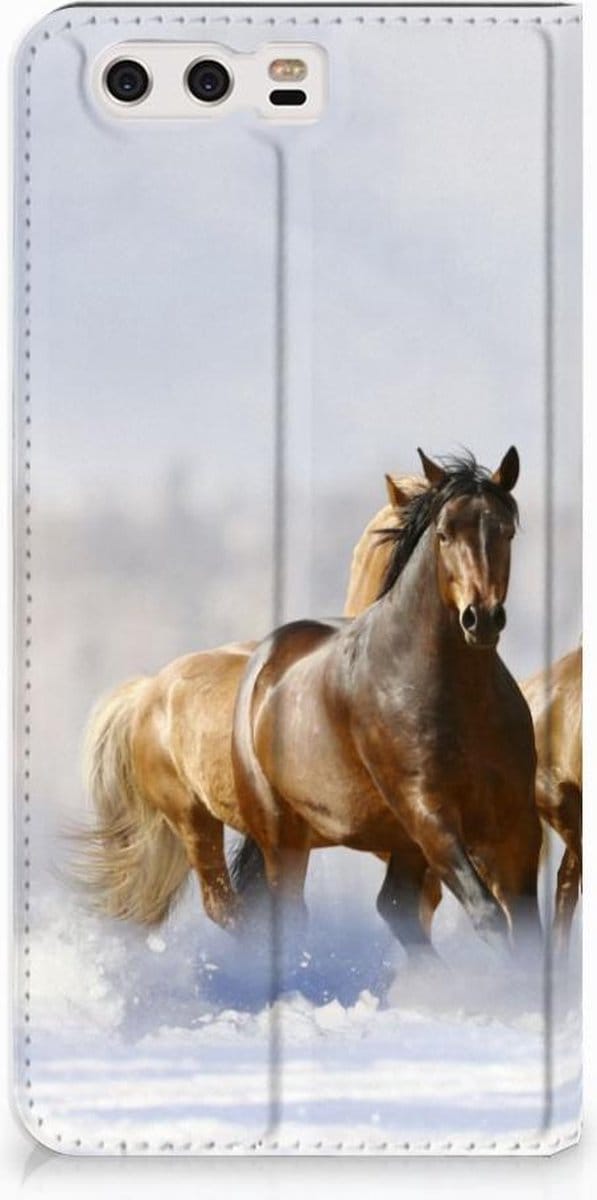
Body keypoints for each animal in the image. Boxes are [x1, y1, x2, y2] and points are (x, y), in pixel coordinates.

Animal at [231, 448, 542, 955]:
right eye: (444, 533)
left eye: (506, 531)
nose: (481, 618)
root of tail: (264, 660)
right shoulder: (429, 815)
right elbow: (488, 915)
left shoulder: (516, 822)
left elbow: (528, 928)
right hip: (283, 834)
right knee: (292, 913)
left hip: (398, 843)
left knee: (395, 905)